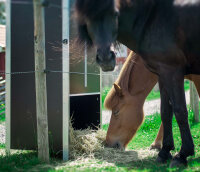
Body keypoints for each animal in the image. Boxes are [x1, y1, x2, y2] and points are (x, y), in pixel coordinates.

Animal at [74, 0, 200, 167]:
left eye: (116, 111)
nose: (108, 143)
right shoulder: (164, 75)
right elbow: (166, 111)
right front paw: (163, 149)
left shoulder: (178, 74)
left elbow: (180, 111)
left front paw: (182, 154)